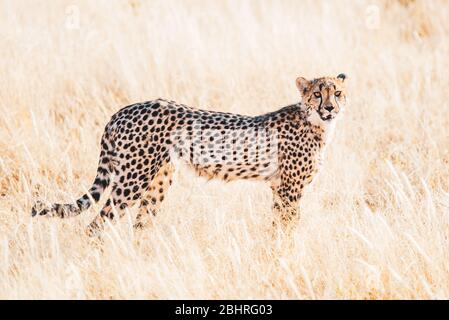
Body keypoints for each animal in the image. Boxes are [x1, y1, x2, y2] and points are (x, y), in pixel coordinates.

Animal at [32, 74, 346, 236]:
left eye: (338, 93)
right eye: (317, 94)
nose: (330, 108)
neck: (316, 124)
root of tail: (123, 110)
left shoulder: (278, 188)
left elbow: (278, 225)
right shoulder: (289, 189)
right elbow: (288, 226)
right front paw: (285, 254)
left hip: (159, 180)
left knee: (140, 225)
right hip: (133, 179)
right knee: (97, 224)